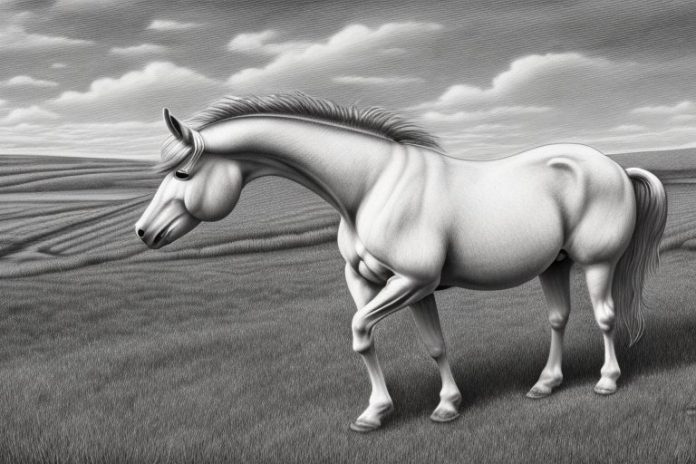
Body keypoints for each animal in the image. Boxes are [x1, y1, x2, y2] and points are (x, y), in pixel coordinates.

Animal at [134, 93, 667, 432]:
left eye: (182, 173)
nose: (143, 232)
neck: (371, 186)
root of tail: (615, 167)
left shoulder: (411, 281)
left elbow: (361, 330)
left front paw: (390, 412)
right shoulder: (388, 284)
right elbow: (421, 344)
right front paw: (422, 408)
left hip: (597, 264)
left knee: (604, 318)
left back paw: (607, 382)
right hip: (553, 265)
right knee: (558, 319)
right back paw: (545, 384)